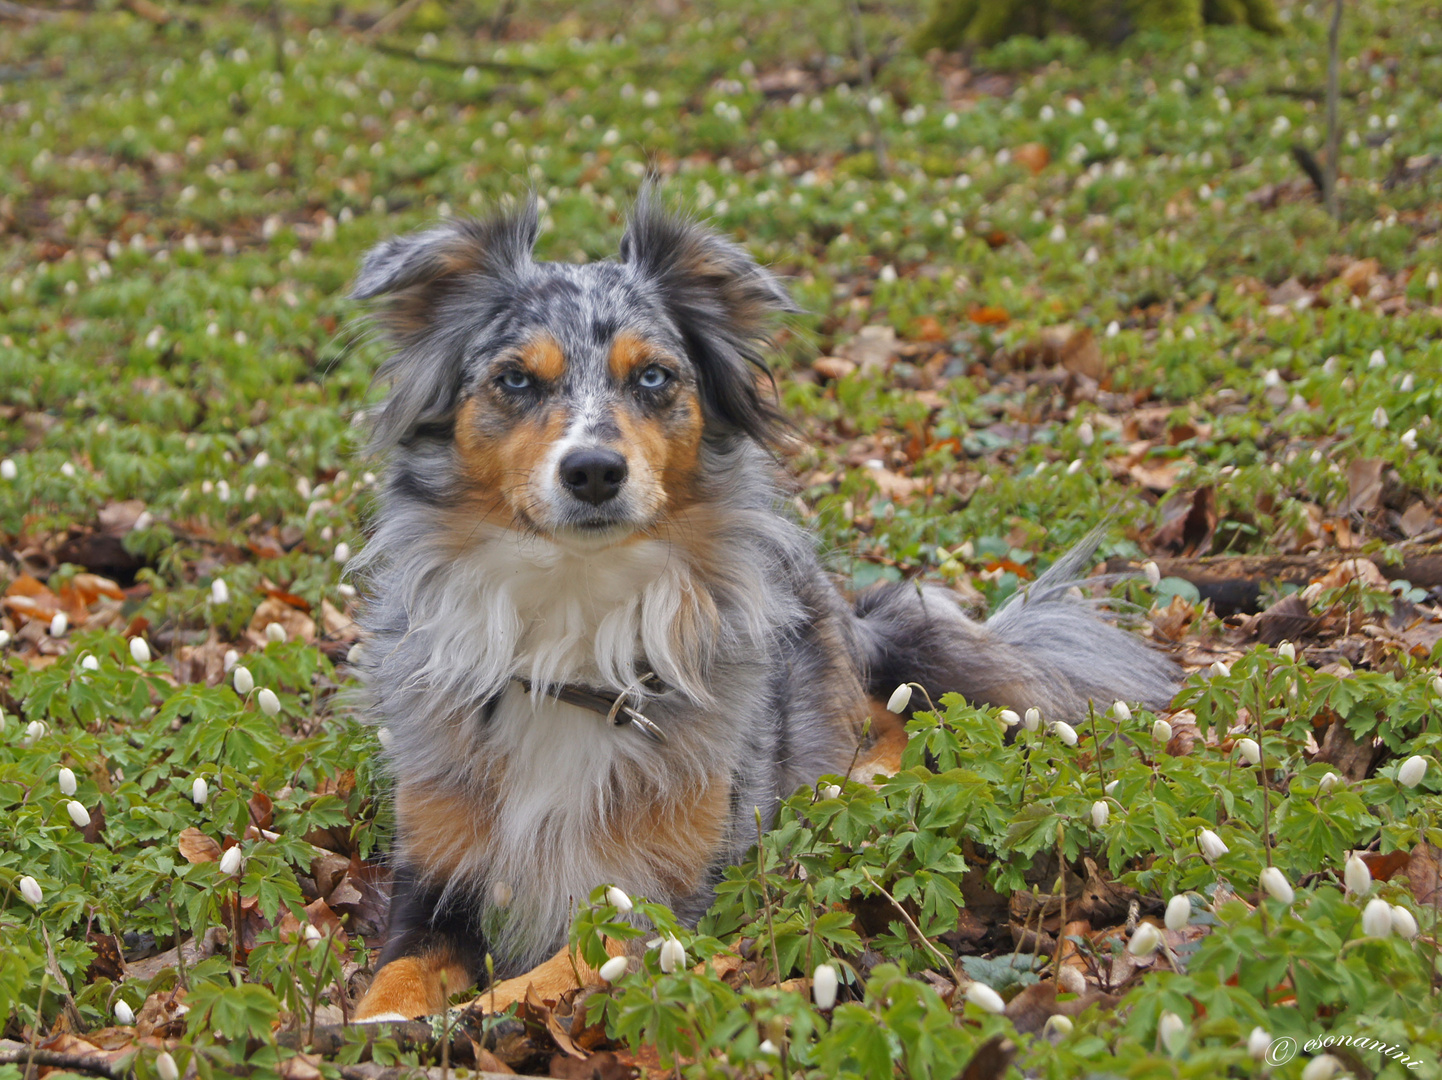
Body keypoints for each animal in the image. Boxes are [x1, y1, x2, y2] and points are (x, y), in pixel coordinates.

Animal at [351, 191, 1182, 1020]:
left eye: (653, 377)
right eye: (516, 381)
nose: (593, 471)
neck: (574, 618)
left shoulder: (664, 896)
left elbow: (534, 987)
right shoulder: (435, 872)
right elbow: (389, 990)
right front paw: (386, 1025)